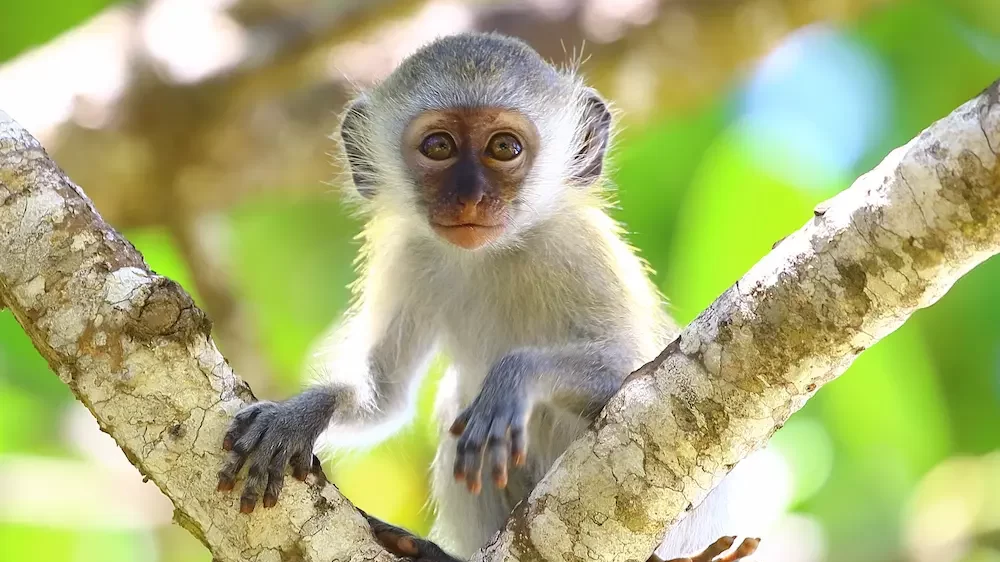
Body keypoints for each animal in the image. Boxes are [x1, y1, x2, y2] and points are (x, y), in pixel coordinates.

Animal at [219, 32, 760, 560]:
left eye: (504, 147)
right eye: (439, 146)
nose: (469, 197)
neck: (494, 255)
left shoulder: (580, 249)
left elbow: (632, 378)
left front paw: (514, 378)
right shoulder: (411, 254)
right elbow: (383, 395)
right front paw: (300, 413)